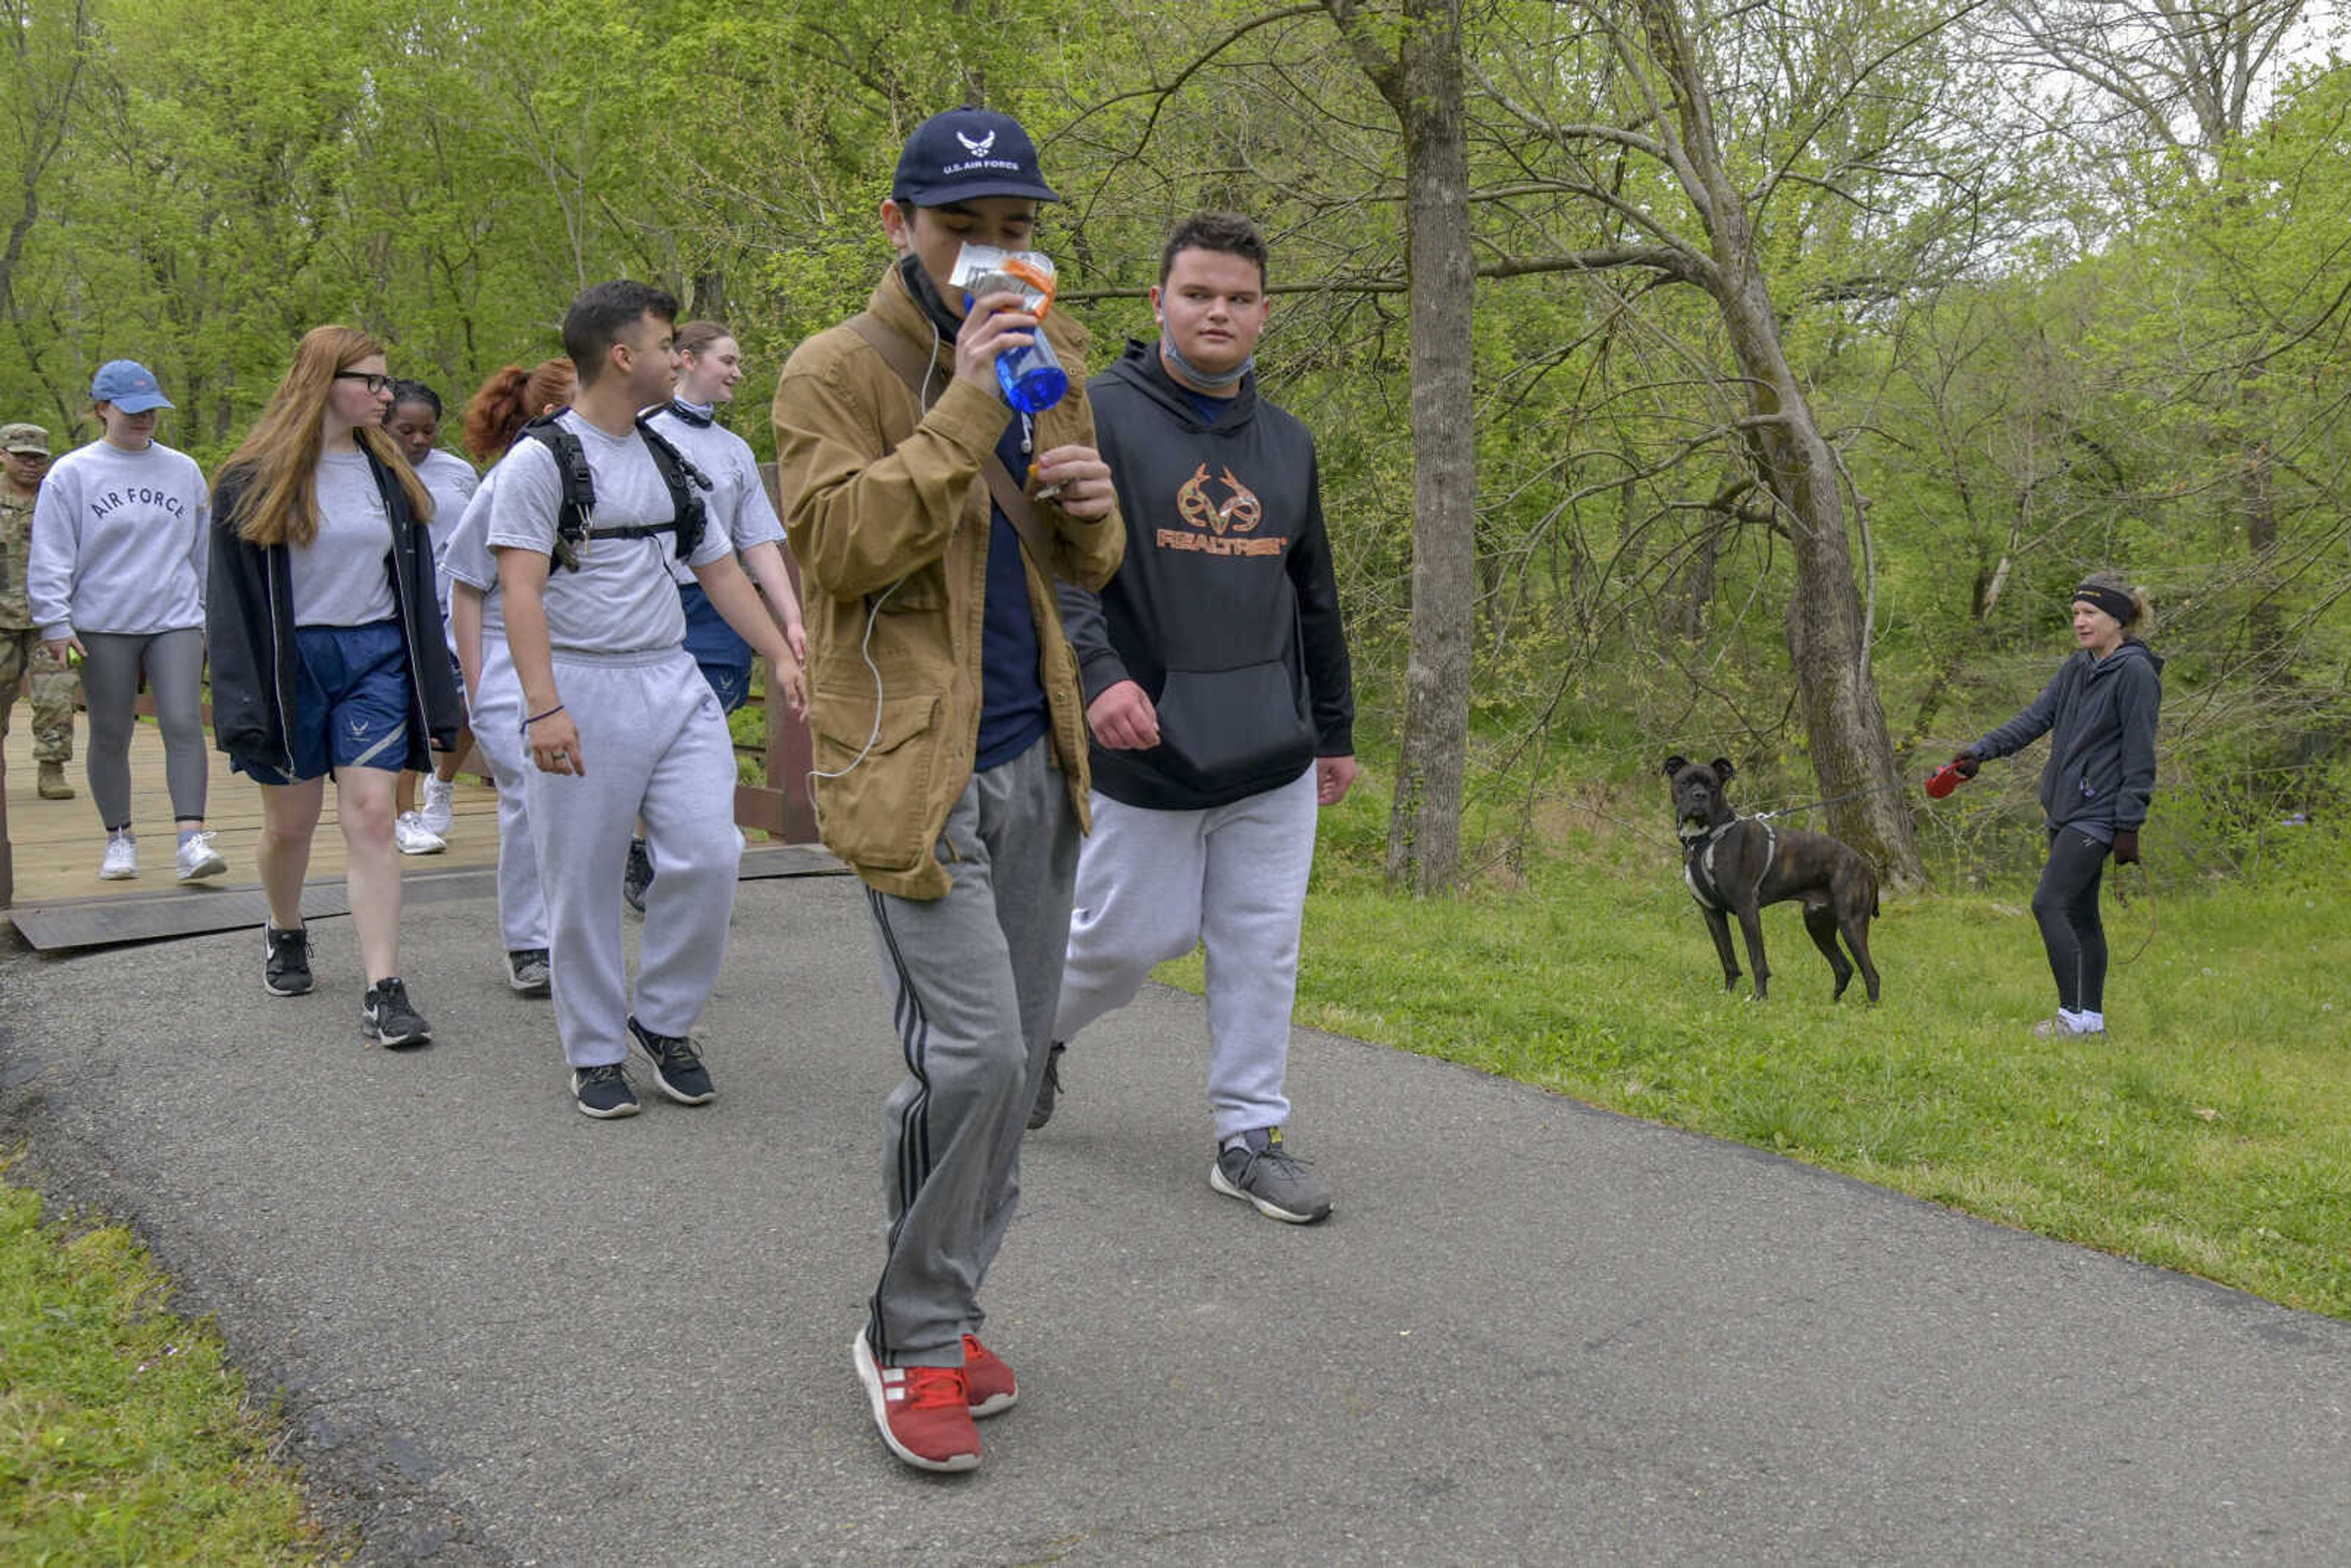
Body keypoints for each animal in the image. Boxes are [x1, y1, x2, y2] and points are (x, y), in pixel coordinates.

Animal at [1664, 762, 1881, 1006]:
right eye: (1684, 782)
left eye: (1712, 785)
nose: (1699, 795)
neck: (1708, 837)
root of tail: (1866, 867)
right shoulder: (1712, 913)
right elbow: (1728, 960)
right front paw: (1728, 994)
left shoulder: (1747, 909)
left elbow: (1757, 960)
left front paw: (1759, 998)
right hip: (1818, 925)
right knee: (1844, 967)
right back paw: (1833, 1005)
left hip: (1850, 924)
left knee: (1871, 974)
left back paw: (1871, 1009)